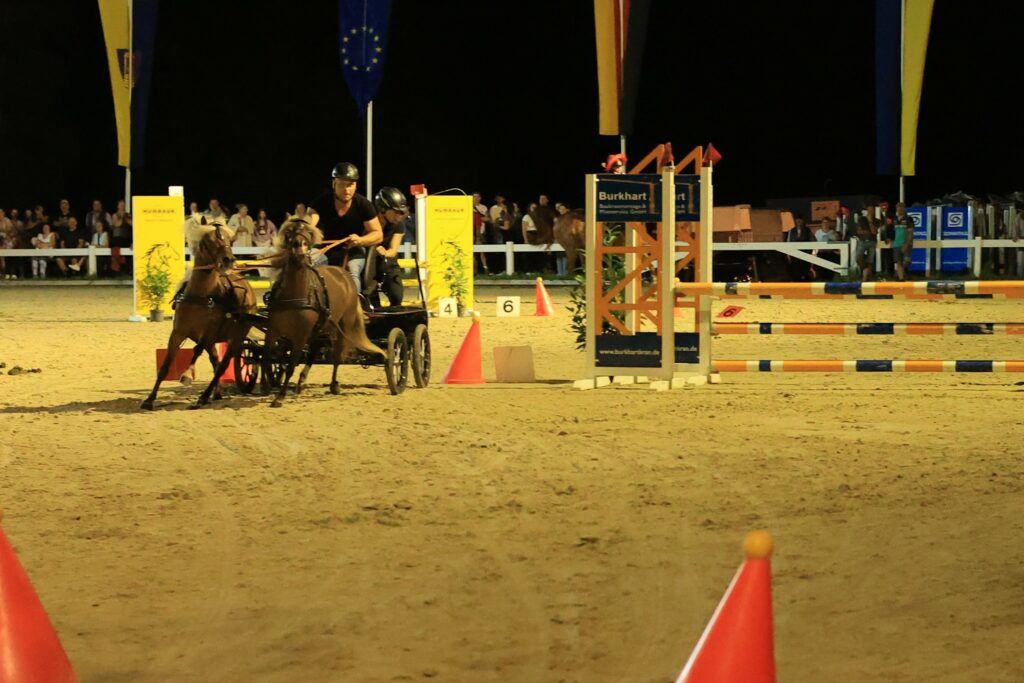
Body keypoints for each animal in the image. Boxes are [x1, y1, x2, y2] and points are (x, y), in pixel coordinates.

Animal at [140, 219, 257, 410]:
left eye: (231, 240)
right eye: (209, 240)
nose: (228, 260)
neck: (201, 295)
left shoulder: (209, 332)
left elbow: (196, 351)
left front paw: (187, 375)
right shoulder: (178, 332)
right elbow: (165, 365)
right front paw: (149, 399)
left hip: (237, 336)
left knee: (222, 365)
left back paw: (204, 397)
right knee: (215, 361)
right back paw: (215, 394)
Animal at [262, 218, 382, 407]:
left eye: (308, 236)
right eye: (289, 234)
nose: (300, 251)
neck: (295, 295)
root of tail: (343, 273)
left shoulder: (300, 336)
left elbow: (291, 365)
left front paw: (279, 397)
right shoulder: (273, 331)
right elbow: (267, 359)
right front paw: (268, 385)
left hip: (342, 326)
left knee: (337, 356)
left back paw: (334, 385)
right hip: (320, 328)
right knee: (314, 351)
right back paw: (301, 383)